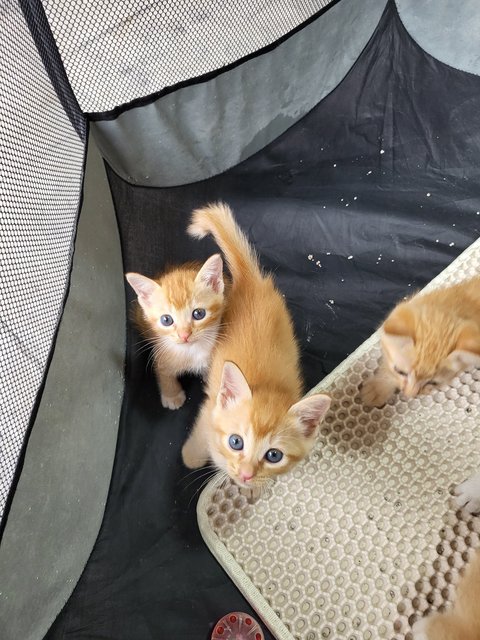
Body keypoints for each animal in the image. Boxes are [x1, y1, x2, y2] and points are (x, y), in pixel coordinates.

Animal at [126, 252, 226, 408]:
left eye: (199, 314)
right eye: (166, 320)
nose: (184, 335)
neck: (190, 352)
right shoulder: (159, 352)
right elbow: (164, 374)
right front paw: (172, 396)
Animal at [180, 202, 330, 488]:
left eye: (274, 455)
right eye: (236, 442)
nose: (246, 474)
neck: (267, 384)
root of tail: (253, 283)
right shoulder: (209, 410)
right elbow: (201, 434)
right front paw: (192, 457)